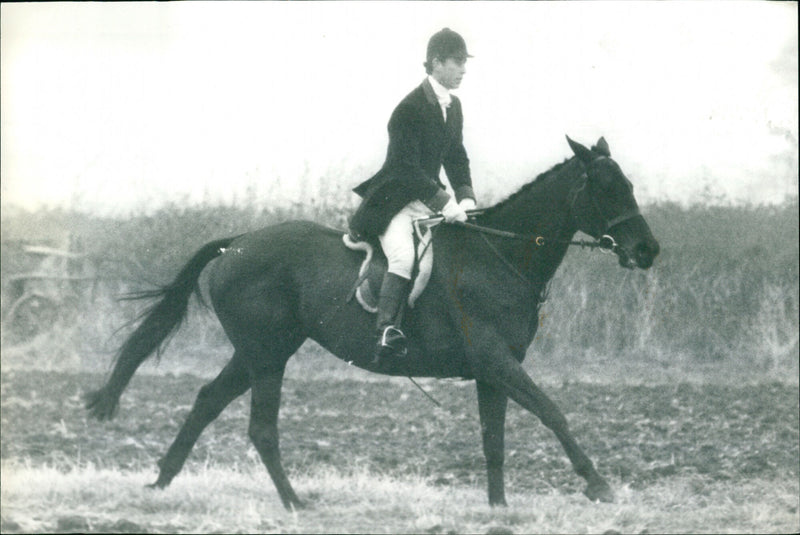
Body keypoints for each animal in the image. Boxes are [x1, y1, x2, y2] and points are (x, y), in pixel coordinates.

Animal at [86, 137, 664, 510]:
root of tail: (237, 243)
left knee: (208, 400)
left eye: (630, 183)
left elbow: (493, 438)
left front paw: (498, 509)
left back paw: (162, 483)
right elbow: (552, 412)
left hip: (259, 350)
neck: (499, 254)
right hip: (268, 354)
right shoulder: (497, 361)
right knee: (261, 427)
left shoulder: (493, 370)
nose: (648, 251)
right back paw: (295, 504)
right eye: (606, 188)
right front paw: (597, 484)